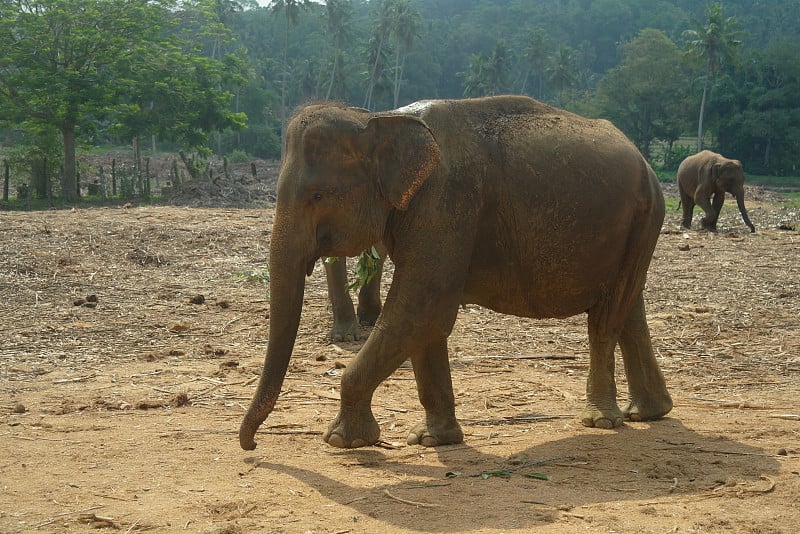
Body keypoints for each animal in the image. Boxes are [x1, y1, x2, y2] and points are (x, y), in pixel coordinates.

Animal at [239, 95, 676, 452]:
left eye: (317, 196)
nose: (251, 445)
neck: (380, 116)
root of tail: (644, 161)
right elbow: (425, 321)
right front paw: (432, 439)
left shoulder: (446, 204)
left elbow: (421, 308)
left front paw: (342, 441)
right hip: (636, 225)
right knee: (628, 308)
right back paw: (648, 412)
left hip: (645, 213)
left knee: (606, 318)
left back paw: (601, 419)